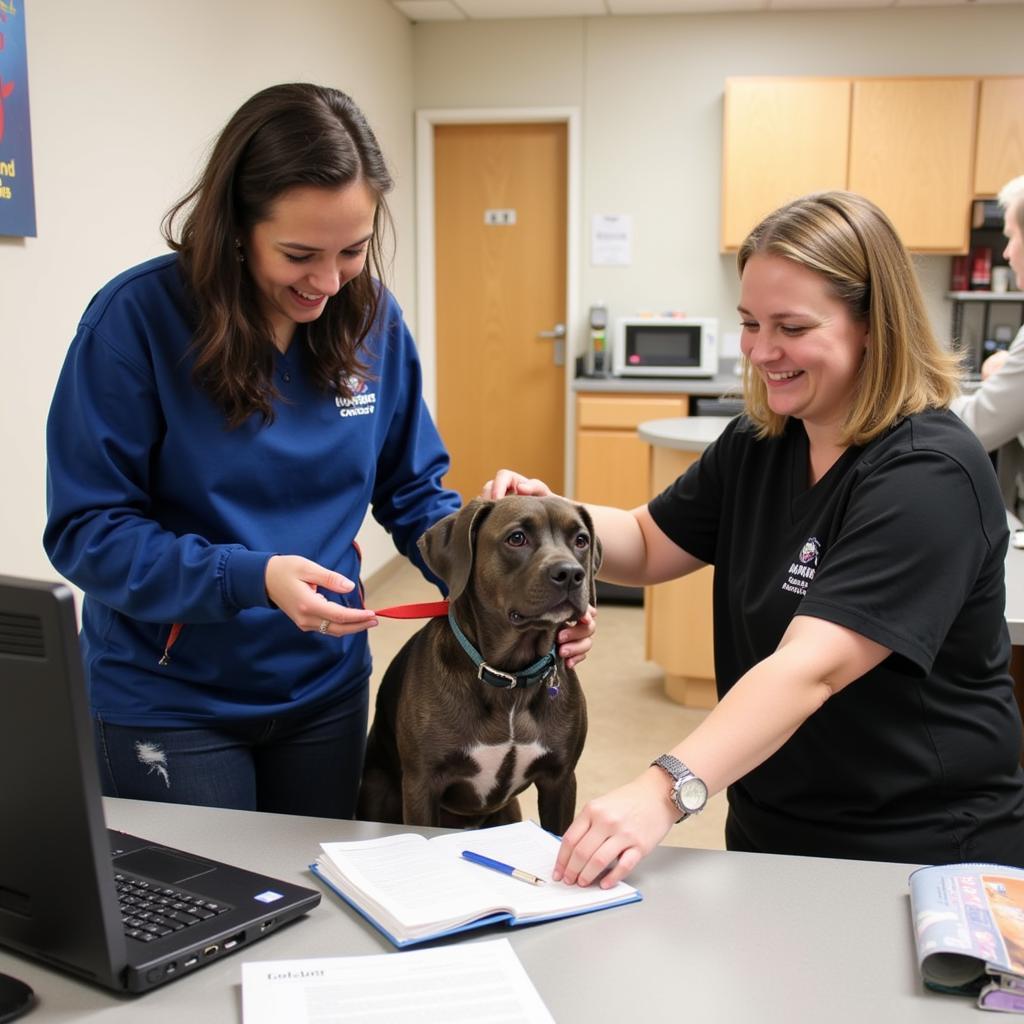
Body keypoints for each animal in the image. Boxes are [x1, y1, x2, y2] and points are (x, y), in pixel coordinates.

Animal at [358, 493, 598, 831]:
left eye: (580, 540)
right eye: (516, 538)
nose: (571, 574)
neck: (509, 676)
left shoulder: (561, 781)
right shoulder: (421, 786)